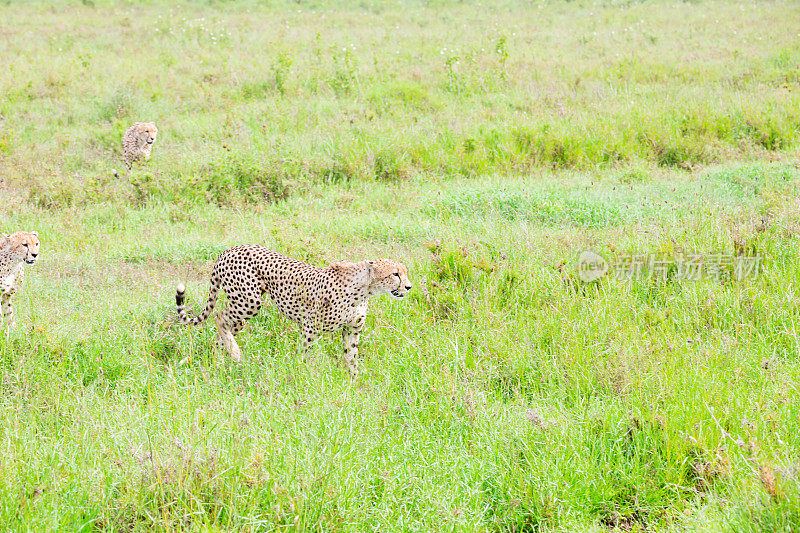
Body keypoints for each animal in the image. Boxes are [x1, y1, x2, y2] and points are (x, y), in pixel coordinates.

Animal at [175, 245, 412, 374]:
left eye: (404, 272)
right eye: (395, 274)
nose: (409, 287)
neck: (364, 289)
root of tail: (229, 249)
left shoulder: (351, 330)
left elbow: (350, 357)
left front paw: (353, 381)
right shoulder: (310, 326)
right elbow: (305, 353)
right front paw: (302, 374)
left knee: (222, 330)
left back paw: (218, 358)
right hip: (248, 301)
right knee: (219, 316)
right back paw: (234, 353)